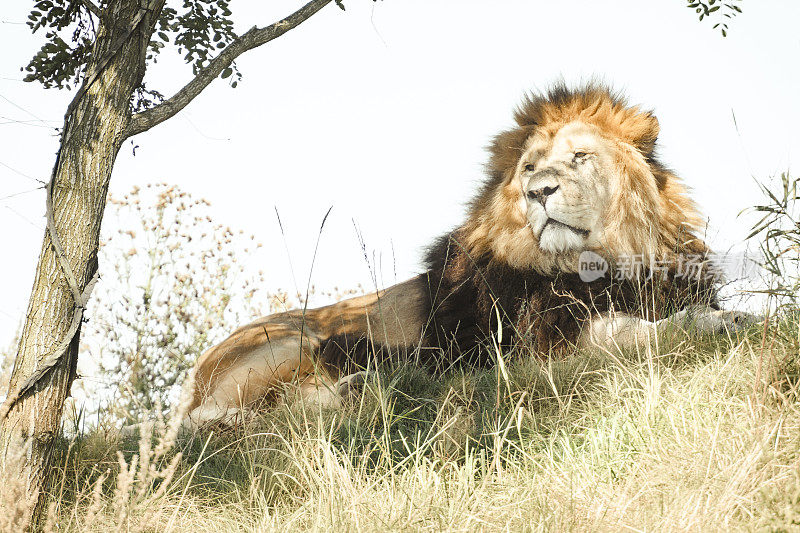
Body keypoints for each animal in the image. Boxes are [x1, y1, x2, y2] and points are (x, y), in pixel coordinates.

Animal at [184, 83, 760, 428]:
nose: (539, 192)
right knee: (217, 420)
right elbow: (644, 332)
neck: (608, 261)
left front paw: (728, 315)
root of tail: (195, 378)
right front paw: (724, 322)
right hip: (290, 340)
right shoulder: (547, 345)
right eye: (530, 168)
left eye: (580, 156)